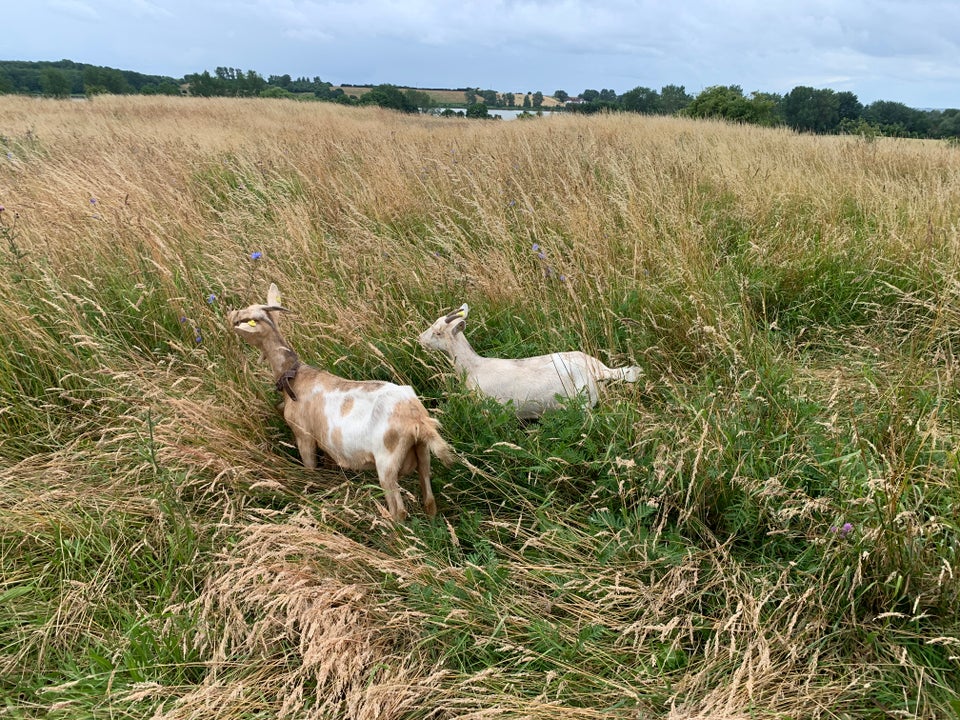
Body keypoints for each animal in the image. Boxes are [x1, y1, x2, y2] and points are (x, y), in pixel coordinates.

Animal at [228, 284, 454, 520]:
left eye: (244, 318)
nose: (230, 314)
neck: (296, 378)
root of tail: (416, 419)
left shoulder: (304, 436)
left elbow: (310, 468)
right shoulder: (326, 444)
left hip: (387, 463)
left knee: (398, 510)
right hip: (423, 453)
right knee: (429, 499)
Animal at [420, 302, 644, 416]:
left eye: (438, 332)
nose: (420, 338)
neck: (475, 367)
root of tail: (600, 370)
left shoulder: (491, 409)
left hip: (582, 405)